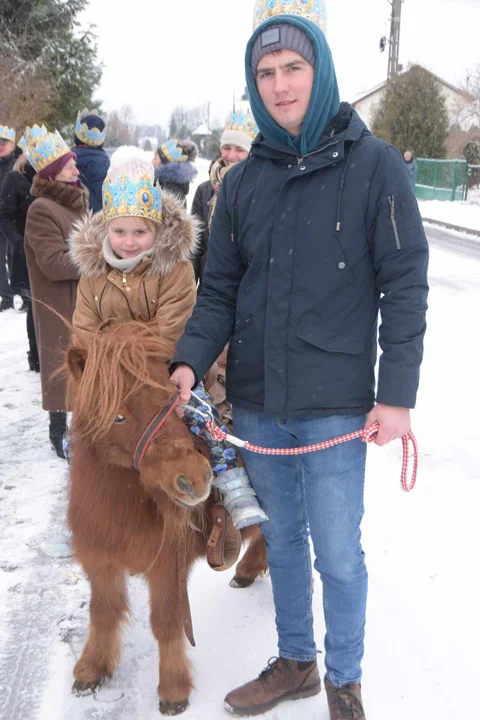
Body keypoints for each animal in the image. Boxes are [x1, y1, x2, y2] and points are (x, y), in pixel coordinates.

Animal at [64, 322, 268, 716]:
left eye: (173, 401)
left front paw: (174, 690)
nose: (197, 478)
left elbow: (167, 621)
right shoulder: (100, 561)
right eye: (118, 415)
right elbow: (103, 611)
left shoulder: (167, 566)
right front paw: (91, 669)